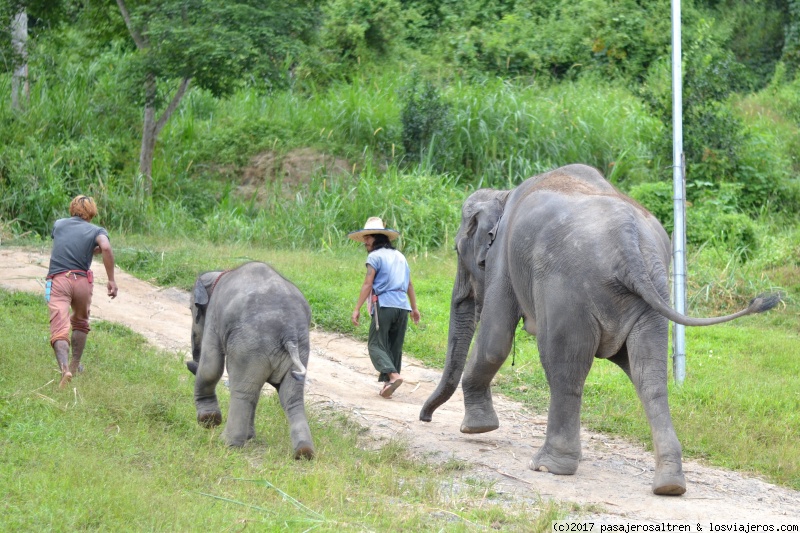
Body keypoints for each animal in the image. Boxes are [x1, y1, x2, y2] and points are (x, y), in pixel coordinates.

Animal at [187, 260, 312, 458]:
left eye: (191, 309)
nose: (191, 360)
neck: (220, 273)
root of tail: (289, 332)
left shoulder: (215, 317)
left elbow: (210, 366)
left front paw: (208, 421)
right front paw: (250, 437)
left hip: (250, 345)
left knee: (242, 391)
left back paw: (228, 443)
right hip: (299, 348)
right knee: (291, 397)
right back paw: (304, 452)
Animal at [422, 163, 780, 494]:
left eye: (457, 250)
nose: (425, 418)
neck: (503, 194)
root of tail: (629, 241)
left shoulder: (502, 261)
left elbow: (496, 339)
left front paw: (475, 430)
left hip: (566, 290)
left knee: (563, 367)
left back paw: (548, 466)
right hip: (651, 293)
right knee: (649, 375)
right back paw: (669, 485)